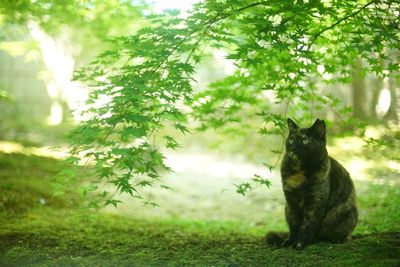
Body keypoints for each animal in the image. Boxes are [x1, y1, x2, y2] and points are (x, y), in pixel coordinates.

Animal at [268, 118, 358, 250]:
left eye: (305, 141)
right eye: (291, 140)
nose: (292, 150)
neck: (299, 172)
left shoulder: (315, 199)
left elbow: (308, 224)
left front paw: (300, 243)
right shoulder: (291, 200)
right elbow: (294, 223)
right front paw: (290, 241)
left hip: (346, 214)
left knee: (343, 235)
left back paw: (331, 239)